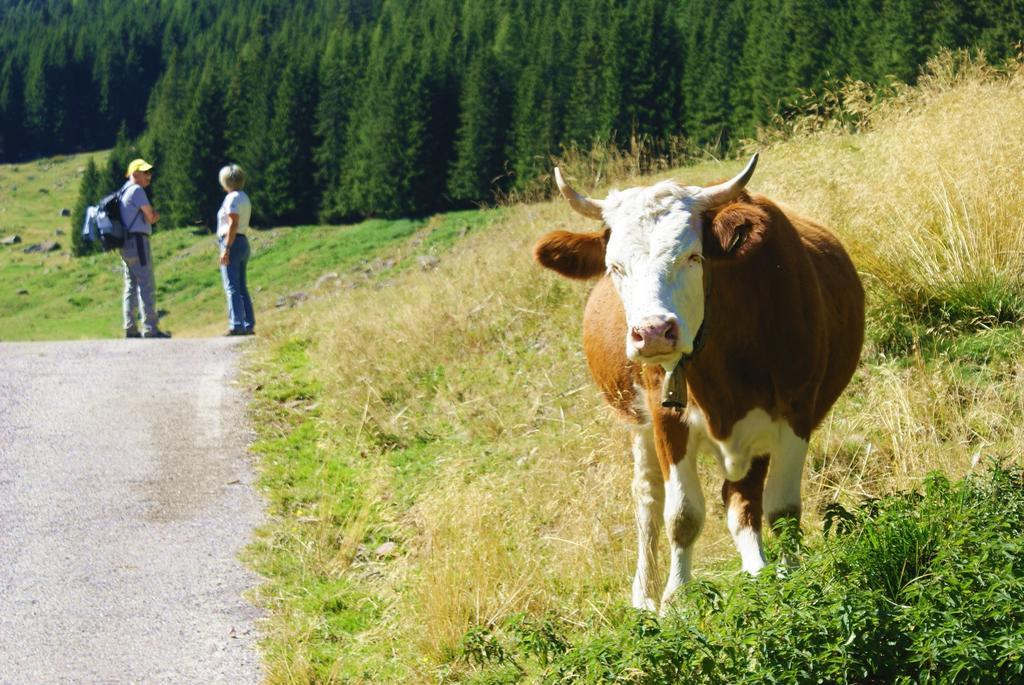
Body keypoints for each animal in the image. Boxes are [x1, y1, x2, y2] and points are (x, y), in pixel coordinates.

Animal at [536, 154, 864, 610]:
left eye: (692, 256)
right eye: (614, 267)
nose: (654, 332)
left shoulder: (796, 412)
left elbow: (782, 510)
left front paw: (792, 582)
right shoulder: (666, 419)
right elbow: (682, 515)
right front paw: (676, 600)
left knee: (741, 499)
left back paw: (756, 569)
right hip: (638, 425)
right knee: (648, 501)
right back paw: (644, 595)